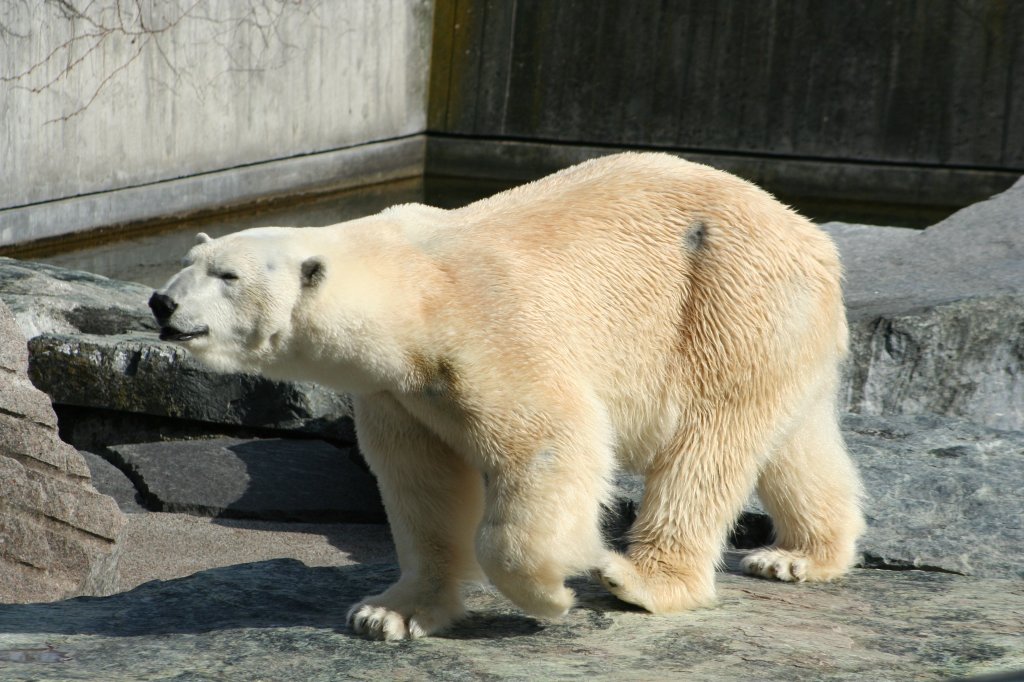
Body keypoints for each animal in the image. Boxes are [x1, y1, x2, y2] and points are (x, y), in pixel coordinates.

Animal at [151, 152, 864, 638]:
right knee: (794, 442)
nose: (162, 302)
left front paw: (550, 593)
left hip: (724, 297)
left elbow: (553, 441)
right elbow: (423, 485)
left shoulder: (491, 329)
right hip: (777, 324)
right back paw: (800, 556)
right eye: (187, 262)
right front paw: (389, 613)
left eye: (227, 275)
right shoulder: (399, 392)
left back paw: (639, 580)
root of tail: (816, 241)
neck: (413, 290)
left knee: (706, 444)